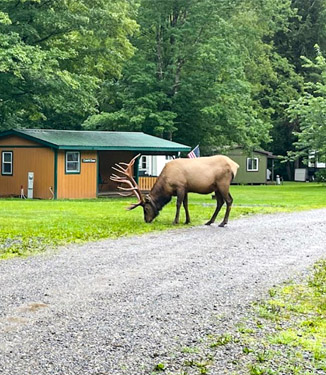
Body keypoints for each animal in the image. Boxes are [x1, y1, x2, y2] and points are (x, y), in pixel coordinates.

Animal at [111, 154, 239, 228]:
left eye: (146, 208)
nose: (146, 220)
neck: (166, 185)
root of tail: (235, 165)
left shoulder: (180, 186)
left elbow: (178, 204)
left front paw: (175, 221)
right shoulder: (186, 188)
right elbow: (185, 204)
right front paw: (187, 220)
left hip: (223, 183)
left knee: (228, 201)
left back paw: (223, 223)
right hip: (217, 187)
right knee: (221, 202)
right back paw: (209, 221)